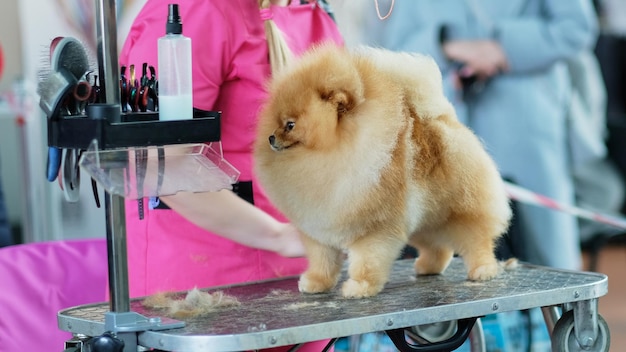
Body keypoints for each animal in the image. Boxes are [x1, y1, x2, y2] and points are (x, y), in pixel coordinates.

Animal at [251, 43, 510, 296]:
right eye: (276, 122)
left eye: (290, 124)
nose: (271, 138)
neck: (328, 155)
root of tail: (444, 119)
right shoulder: (319, 231)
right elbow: (322, 260)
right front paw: (316, 283)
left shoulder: (374, 229)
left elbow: (366, 260)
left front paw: (360, 287)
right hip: (424, 220)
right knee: (438, 246)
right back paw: (428, 267)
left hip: (459, 209)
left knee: (476, 238)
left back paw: (483, 269)